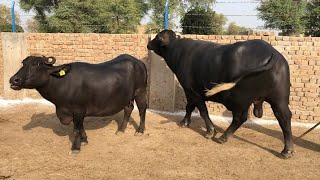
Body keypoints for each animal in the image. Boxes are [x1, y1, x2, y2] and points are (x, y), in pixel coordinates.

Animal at [9, 54, 148, 153]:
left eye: (38, 64)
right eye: (23, 63)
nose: (14, 80)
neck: (62, 82)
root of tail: (139, 62)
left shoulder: (78, 110)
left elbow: (76, 129)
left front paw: (76, 147)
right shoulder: (76, 112)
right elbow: (80, 128)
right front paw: (84, 140)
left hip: (140, 91)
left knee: (142, 109)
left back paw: (140, 131)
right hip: (127, 96)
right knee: (128, 108)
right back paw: (121, 129)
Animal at [148, 30, 292, 158]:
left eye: (157, 37)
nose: (148, 43)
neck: (178, 51)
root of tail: (271, 52)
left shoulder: (192, 91)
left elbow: (202, 111)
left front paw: (210, 131)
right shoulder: (191, 92)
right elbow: (189, 107)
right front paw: (185, 122)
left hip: (240, 99)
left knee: (240, 118)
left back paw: (223, 137)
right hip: (279, 99)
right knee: (284, 117)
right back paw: (287, 150)